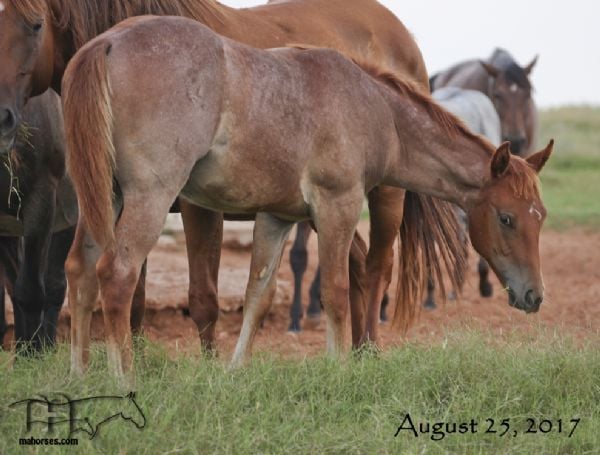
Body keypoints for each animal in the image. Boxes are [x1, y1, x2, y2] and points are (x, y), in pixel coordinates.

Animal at [0, 0, 464, 350]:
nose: (2, 118)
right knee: (353, 264)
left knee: (376, 267)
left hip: (386, 194)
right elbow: (135, 297)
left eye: (36, 23)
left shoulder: (194, 205)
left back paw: (367, 351)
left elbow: (202, 297)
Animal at [62, 16, 552, 376]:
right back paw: (124, 380)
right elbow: (335, 290)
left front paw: (235, 372)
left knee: (80, 271)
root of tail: (106, 43)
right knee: (117, 274)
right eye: (506, 218)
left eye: (540, 216)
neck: (374, 108)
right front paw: (338, 369)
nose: (534, 296)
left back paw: (79, 375)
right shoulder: (338, 206)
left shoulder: (276, 217)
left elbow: (258, 295)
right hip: (150, 196)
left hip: (103, 199)